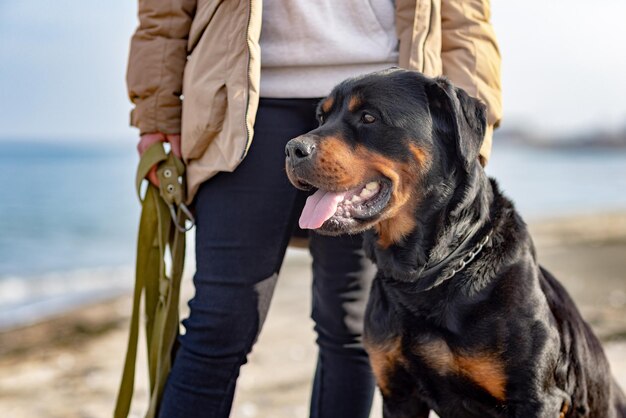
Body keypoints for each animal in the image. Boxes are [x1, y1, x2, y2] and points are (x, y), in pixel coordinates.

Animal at [284, 68, 624, 418]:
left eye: (368, 117)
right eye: (321, 117)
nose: (292, 148)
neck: (424, 275)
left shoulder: (537, 399)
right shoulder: (398, 394)